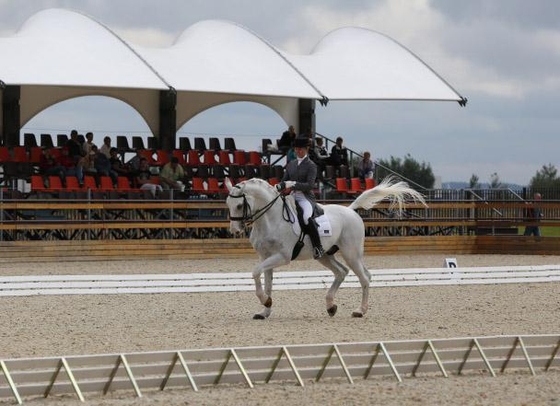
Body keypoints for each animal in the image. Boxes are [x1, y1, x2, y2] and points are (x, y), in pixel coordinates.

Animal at [225, 176, 426, 318]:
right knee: (342, 272)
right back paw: (331, 306)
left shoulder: (282, 257)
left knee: (364, 278)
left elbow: (255, 272)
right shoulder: (265, 257)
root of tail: (351, 210)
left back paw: (360, 311)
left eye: (240, 205)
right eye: (228, 204)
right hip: (324, 255)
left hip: (351, 253)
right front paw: (265, 309)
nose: (234, 230)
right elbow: (265, 281)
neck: (270, 220)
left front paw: (265, 302)